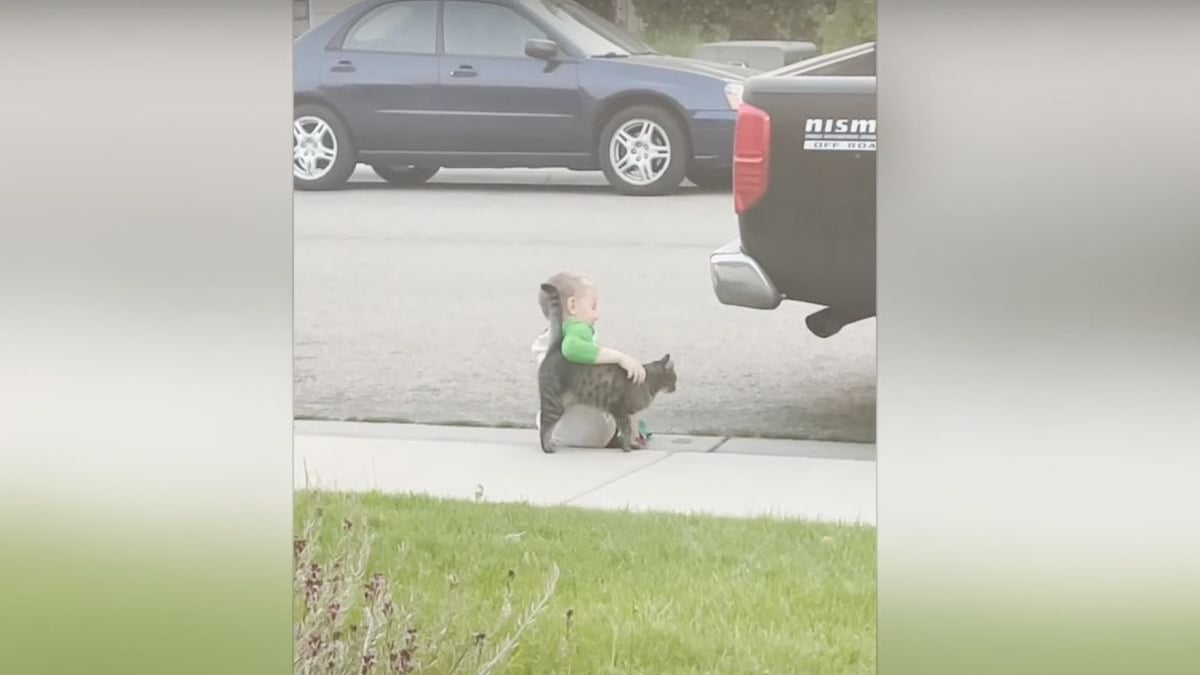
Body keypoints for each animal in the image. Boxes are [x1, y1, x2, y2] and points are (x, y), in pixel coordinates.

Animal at [535, 281, 676, 449]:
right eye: (675, 379)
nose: (675, 388)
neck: (649, 381)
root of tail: (555, 347)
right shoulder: (620, 409)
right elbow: (626, 430)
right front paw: (627, 448)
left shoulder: (628, 413)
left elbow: (630, 430)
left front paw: (632, 444)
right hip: (553, 402)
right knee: (545, 425)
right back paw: (547, 448)